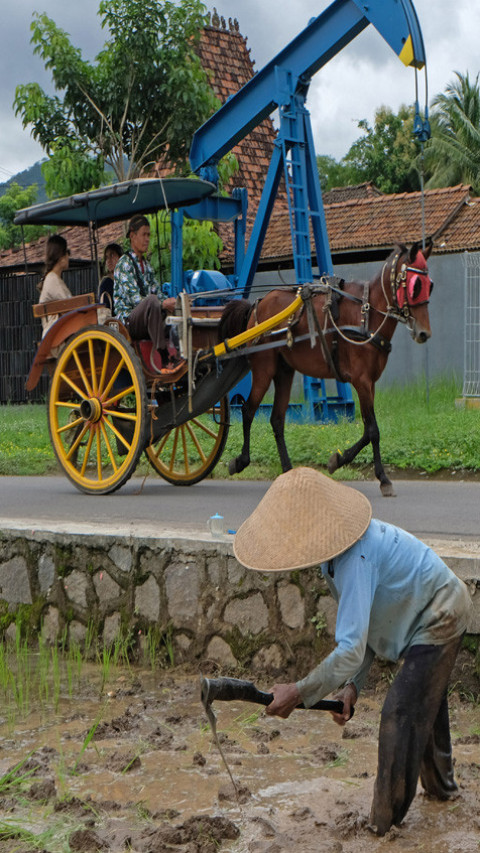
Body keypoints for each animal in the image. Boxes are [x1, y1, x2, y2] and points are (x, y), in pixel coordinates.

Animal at [219, 240, 434, 496]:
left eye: (429, 286)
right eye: (415, 285)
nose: (424, 333)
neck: (367, 314)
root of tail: (257, 304)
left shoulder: (369, 383)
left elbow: (367, 430)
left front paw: (337, 460)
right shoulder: (361, 380)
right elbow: (373, 430)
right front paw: (383, 479)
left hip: (284, 372)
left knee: (277, 419)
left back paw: (288, 471)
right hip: (264, 369)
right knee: (248, 410)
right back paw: (241, 461)